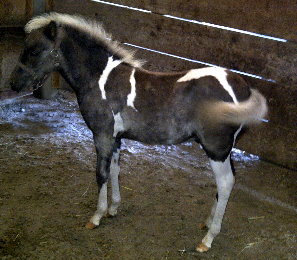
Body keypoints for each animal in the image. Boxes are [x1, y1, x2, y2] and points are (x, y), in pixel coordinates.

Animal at [10, 12, 268, 252]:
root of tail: (242, 88)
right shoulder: (115, 138)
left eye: (34, 51)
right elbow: (115, 170)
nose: (13, 84)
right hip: (224, 149)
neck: (100, 78)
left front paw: (96, 217)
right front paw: (113, 209)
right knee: (227, 182)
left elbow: (101, 174)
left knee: (225, 183)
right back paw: (206, 223)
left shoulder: (102, 135)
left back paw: (207, 239)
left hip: (216, 148)